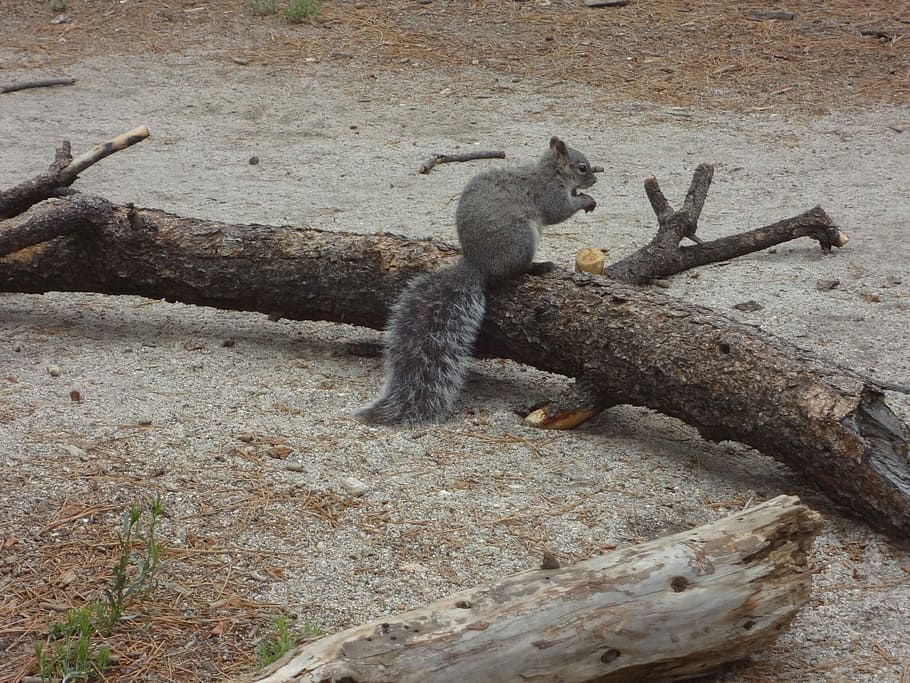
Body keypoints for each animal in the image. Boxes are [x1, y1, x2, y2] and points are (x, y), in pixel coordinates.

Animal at [356, 136, 602, 425]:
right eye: (582, 167)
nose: (594, 180)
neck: (552, 172)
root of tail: (477, 265)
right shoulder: (548, 193)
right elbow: (560, 211)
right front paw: (585, 200)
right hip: (521, 238)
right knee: (514, 272)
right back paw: (538, 267)